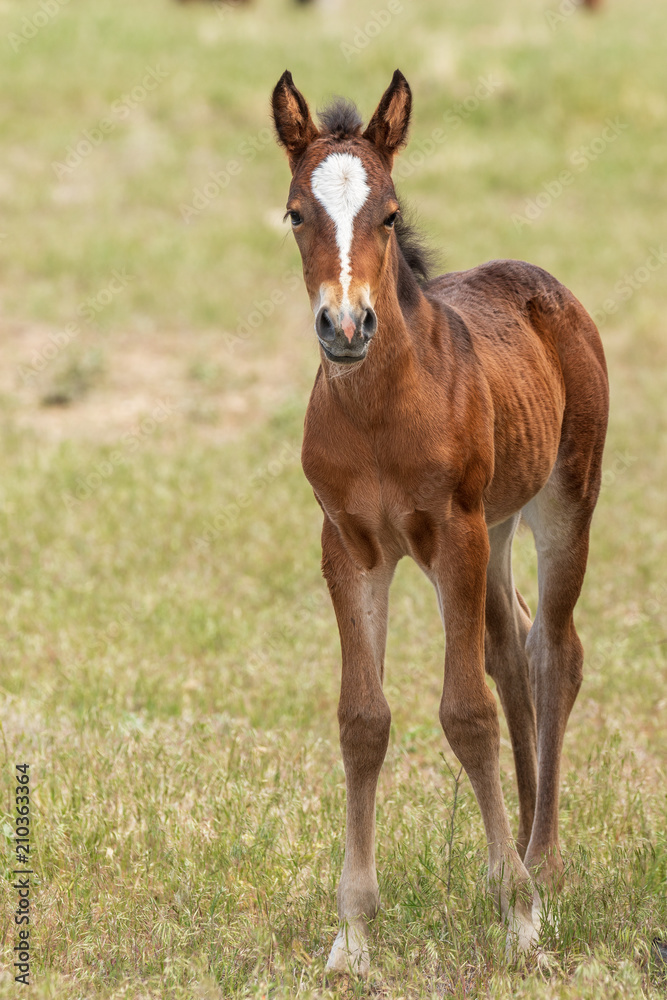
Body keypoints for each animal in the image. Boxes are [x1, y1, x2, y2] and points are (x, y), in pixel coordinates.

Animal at [271, 69, 609, 978]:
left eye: (388, 213)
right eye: (295, 212)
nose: (344, 327)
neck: (380, 410)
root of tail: (543, 285)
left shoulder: (450, 531)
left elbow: (465, 714)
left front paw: (518, 917)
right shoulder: (349, 546)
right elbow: (363, 719)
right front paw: (352, 934)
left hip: (560, 501)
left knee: (553, 651)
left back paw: (542, 862)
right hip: (495, 527)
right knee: (511, 647)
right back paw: (523, 844)